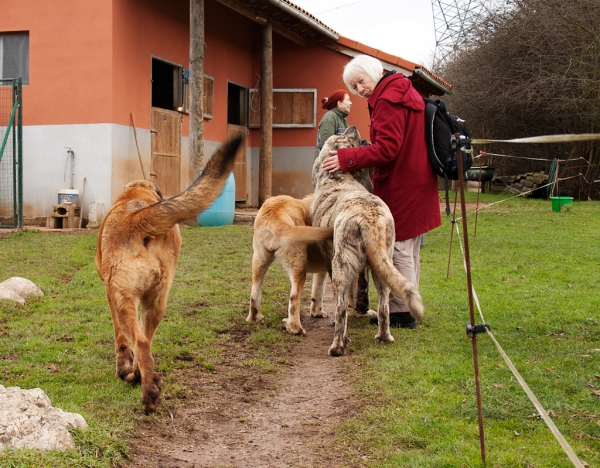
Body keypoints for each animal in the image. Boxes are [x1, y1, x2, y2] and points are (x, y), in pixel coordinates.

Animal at [95, 137, 240, 412]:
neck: (134, 195)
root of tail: (138, 217)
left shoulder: (110, 296)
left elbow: (120, 339)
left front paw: (122, 369)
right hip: (157, 301)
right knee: (147, 342)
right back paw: (144, 380)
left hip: (123, 298)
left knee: (140, 343)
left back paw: (145, 391)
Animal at [312, 126, 424, 356]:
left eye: (341, 137)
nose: (353, 127)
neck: (339, 177)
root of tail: (369, 218)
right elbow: (362, 288)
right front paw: (363, 307)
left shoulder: (330, 261)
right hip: (382, 266)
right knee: (384, 307)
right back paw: (384, 337)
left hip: (341, 266)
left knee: (341, 309)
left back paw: (338, 346)